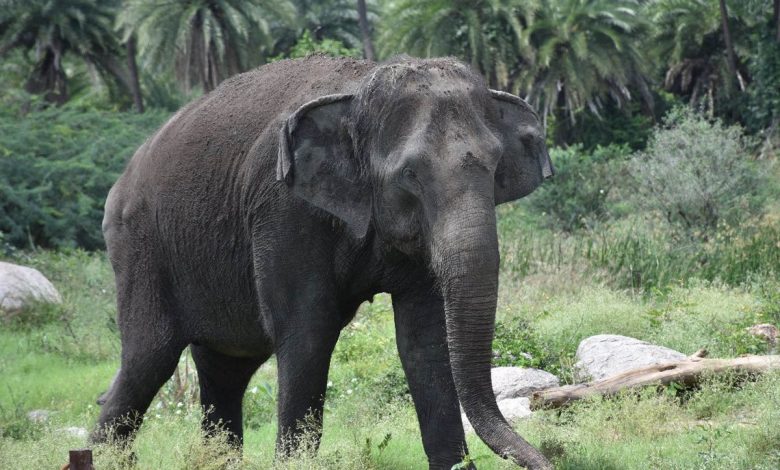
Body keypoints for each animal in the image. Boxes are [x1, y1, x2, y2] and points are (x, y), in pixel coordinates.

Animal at [93, 55, 554, 470]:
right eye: (410, 175)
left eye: (495, 166)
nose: (547, 461)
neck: (358, 89)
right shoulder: (284, 209)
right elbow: (308, 329)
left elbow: (423, 339)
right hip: (139, 248)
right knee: (148, 359)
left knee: (225, 369)